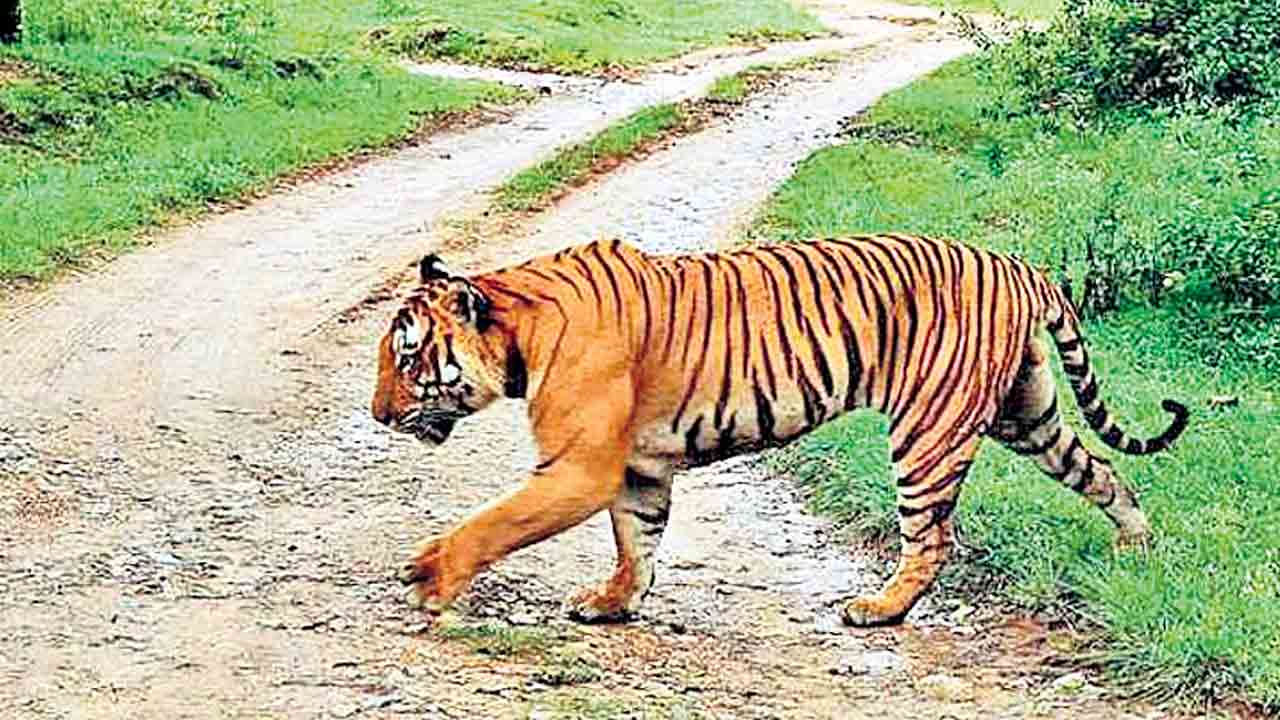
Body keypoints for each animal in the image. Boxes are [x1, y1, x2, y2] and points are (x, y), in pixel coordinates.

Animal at [371, 234, 1188, 627]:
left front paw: (430, 576)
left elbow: (491, 523)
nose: (377, 414)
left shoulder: (578, 469)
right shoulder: (638, 468)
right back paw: (1137, 548)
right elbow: (638, 541)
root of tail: (1022, 266)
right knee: (1104, 474)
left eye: (407, 356)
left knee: (932, 538)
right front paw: (615, 603)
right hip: (1029, 414)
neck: (520, 329)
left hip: (930, 431)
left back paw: (879, 609)